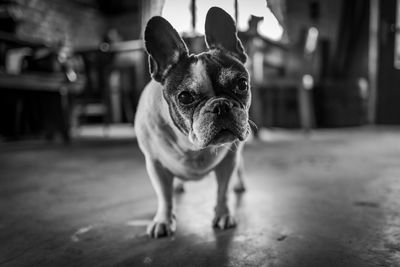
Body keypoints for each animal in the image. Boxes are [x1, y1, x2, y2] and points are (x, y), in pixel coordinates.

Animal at [136, 6, 252, 239]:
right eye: (185, 97)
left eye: (242, 84)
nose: (221, 106)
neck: (191, 145)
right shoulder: (155, 164)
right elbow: (164, 196)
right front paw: (163, 220)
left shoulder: (229, 160)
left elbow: (223, 191)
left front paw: (223, 214)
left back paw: (240, 184)